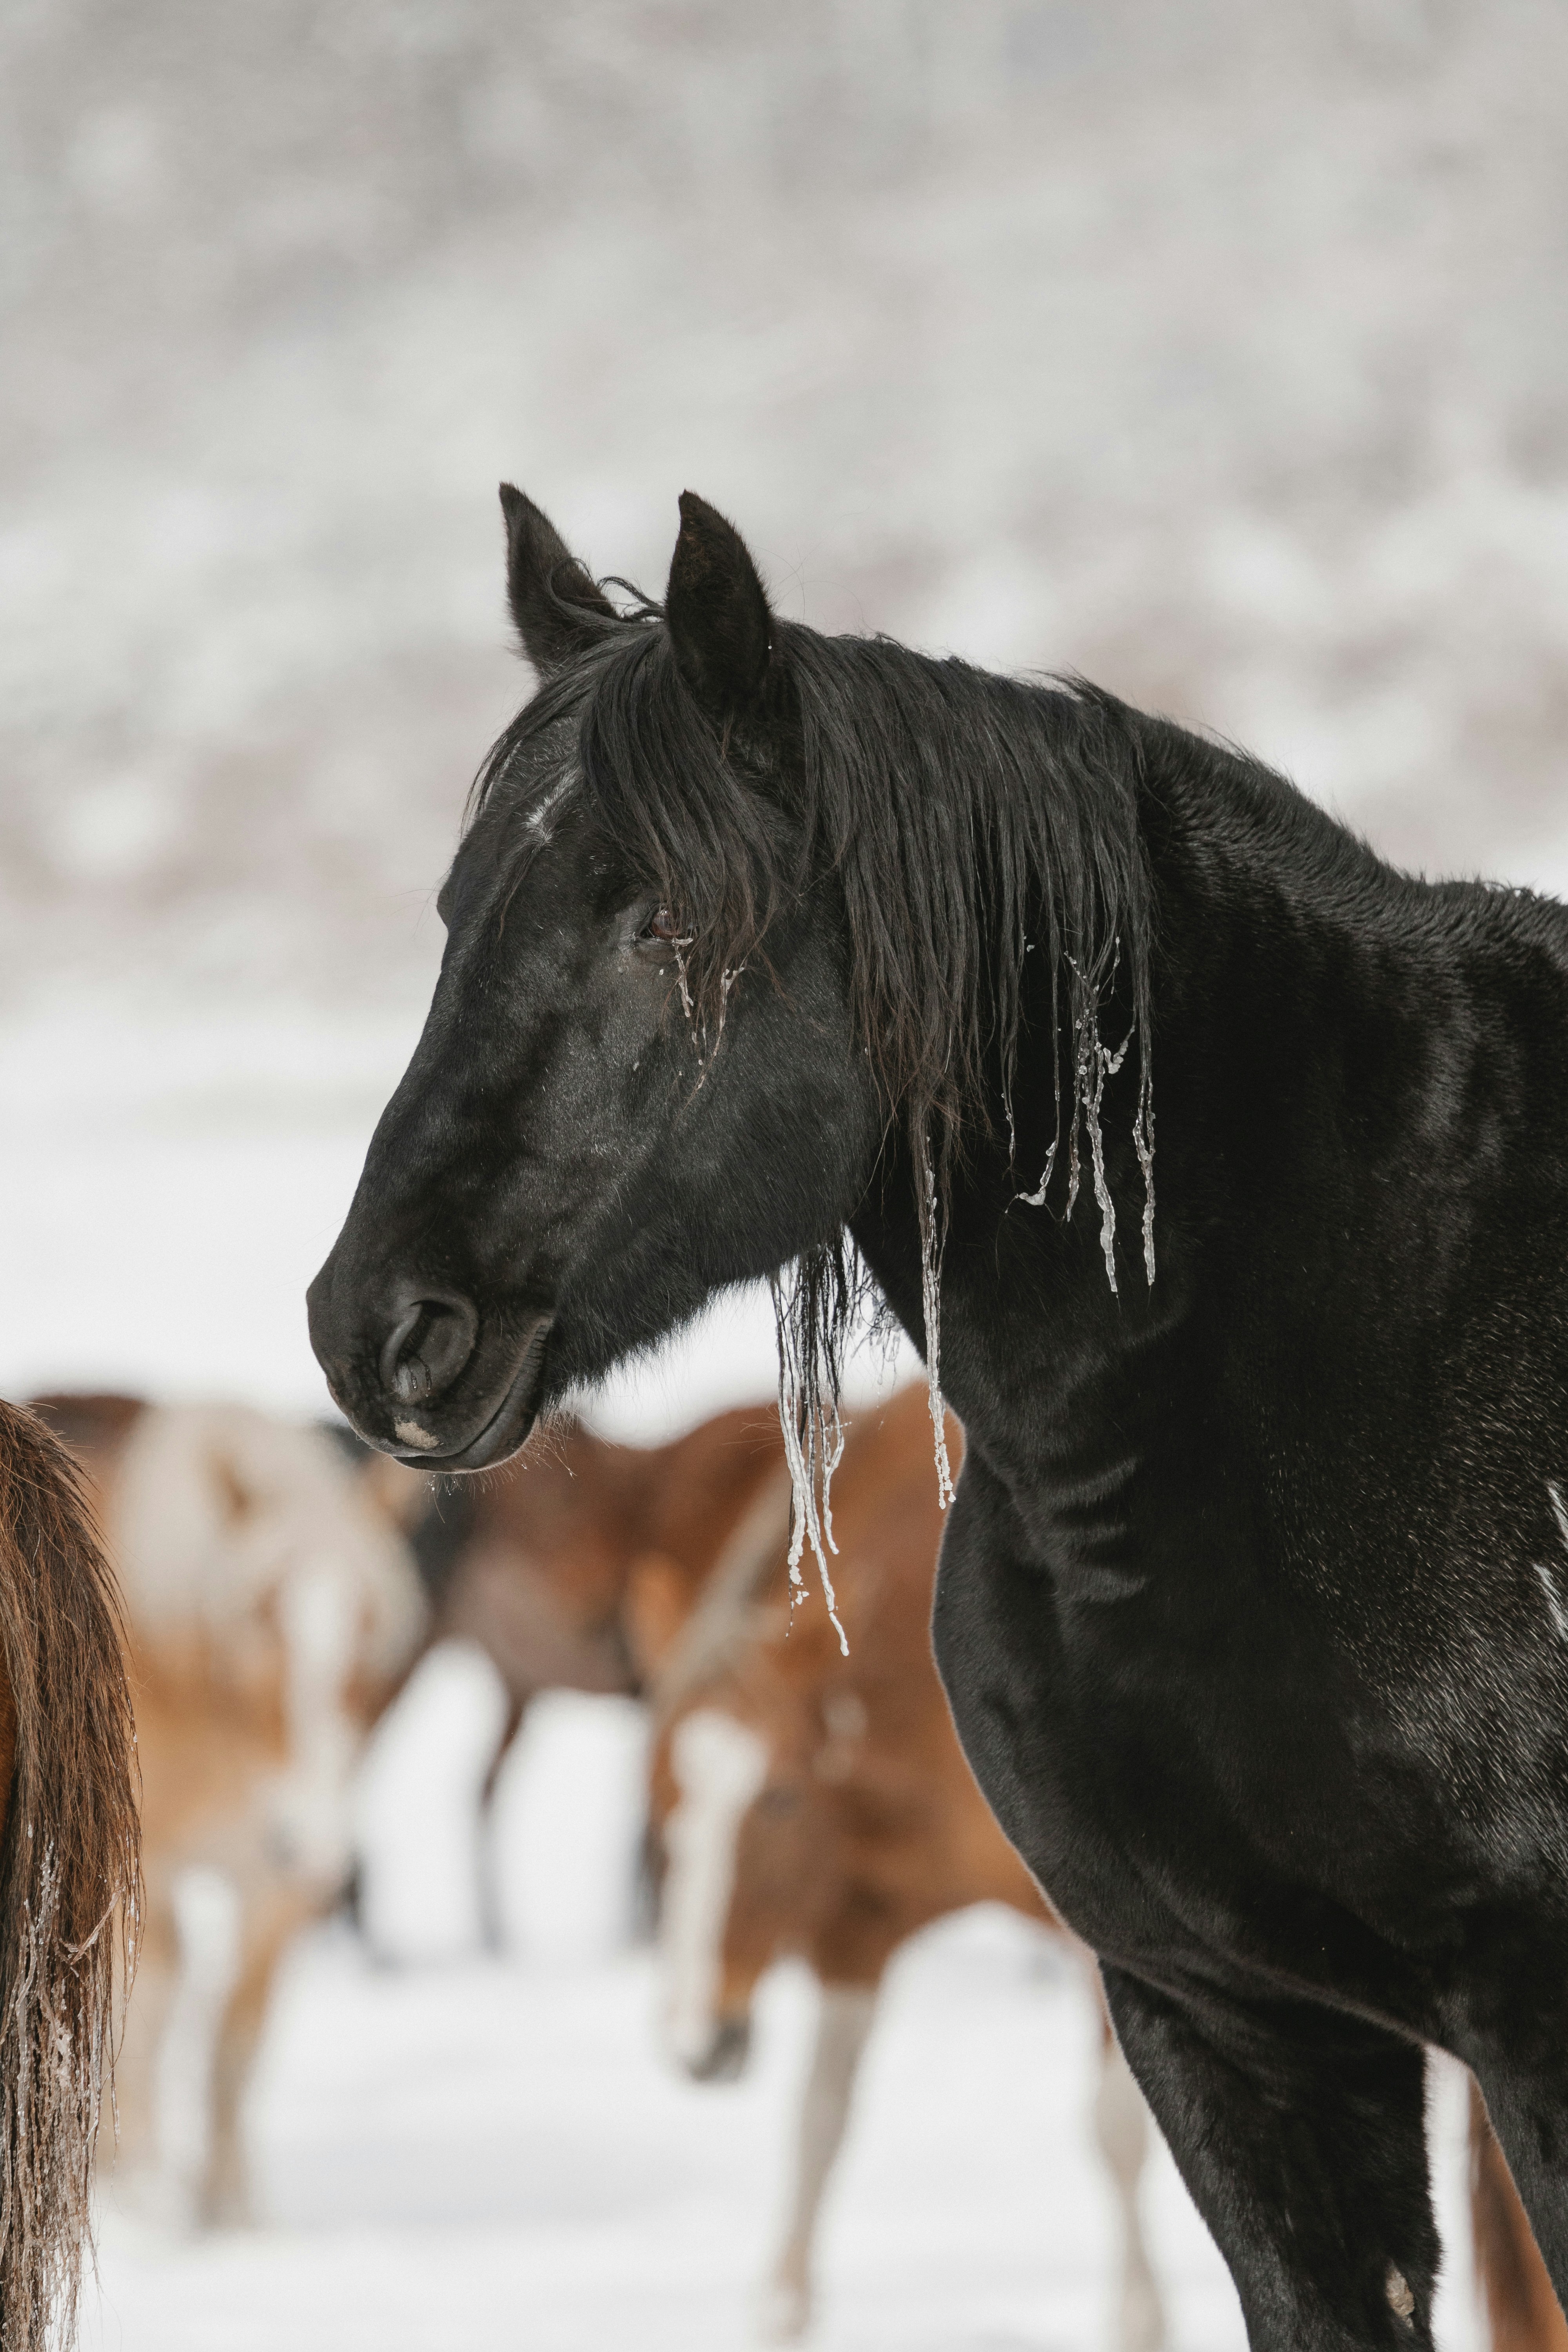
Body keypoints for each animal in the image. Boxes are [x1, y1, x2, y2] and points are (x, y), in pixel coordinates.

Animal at [33, 1394, 424, 2227]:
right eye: (257, 1617)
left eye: (373, 1627)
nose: (315, 1837)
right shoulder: (134, 1867)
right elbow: (142, 2015)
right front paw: (142, 2195)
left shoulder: (274, 1880)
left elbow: (236, 2040)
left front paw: (231, 2214)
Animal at [644, 1380, 1164, 2350]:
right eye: (655, 1809)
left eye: (779, 1800)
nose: (697, 2045)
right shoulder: (856, 1925)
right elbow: (819, 2119)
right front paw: (785, 2306)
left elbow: (1116, 2131)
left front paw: (1139, 2318)